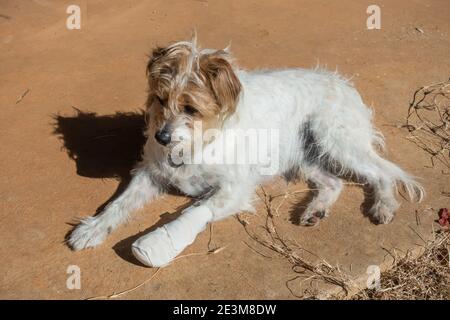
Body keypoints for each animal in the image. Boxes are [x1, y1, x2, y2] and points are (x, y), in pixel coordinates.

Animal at [67, 37, 426, 268]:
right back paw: (315, 210)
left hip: (336, 141)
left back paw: (383, 205)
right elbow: (118, 204)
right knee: (333, 182)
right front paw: (92, 229)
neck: (199, 142)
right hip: (303, 157)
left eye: (190, 108)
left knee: (382, 173)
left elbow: (194, 210)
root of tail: (343, 83)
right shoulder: (150, 173)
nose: (161, 137)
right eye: (159, 99)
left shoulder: (234, 188)